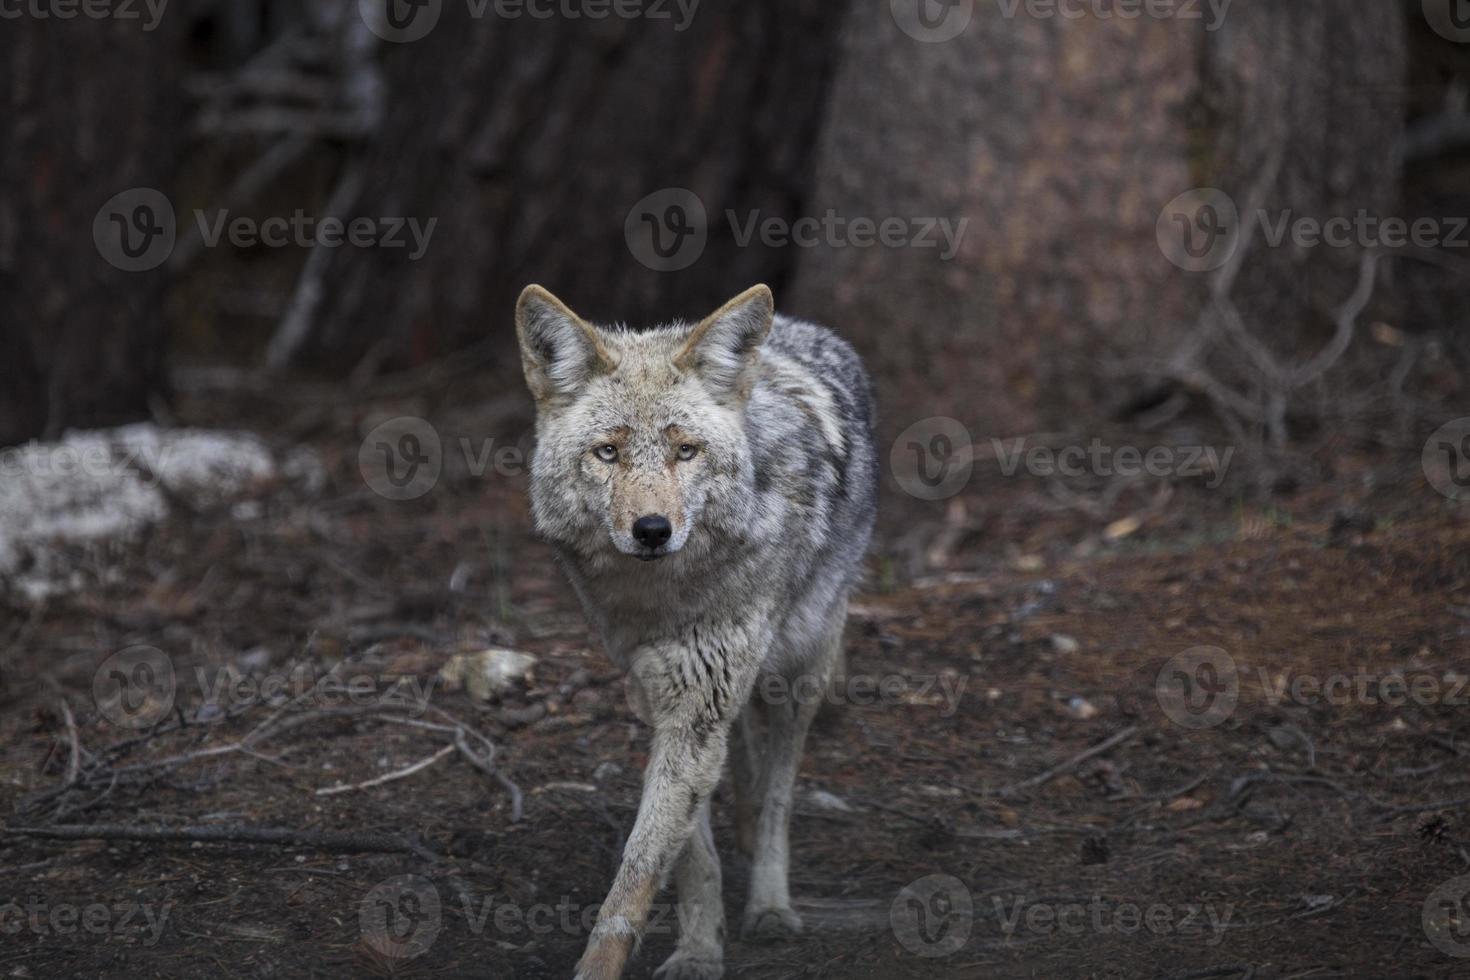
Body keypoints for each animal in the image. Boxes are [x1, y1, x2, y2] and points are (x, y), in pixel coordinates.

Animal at [517, 283, 876, 980]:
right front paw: (698, 950)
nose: (652, 530)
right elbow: (687, 852)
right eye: (609, 452)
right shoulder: (658, 689)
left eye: (685, 450)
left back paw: (770, 902)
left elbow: (642, 862)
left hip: (804, 668)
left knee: (779, 791)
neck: (666, 597)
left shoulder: (704, 695)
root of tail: (800, 326)